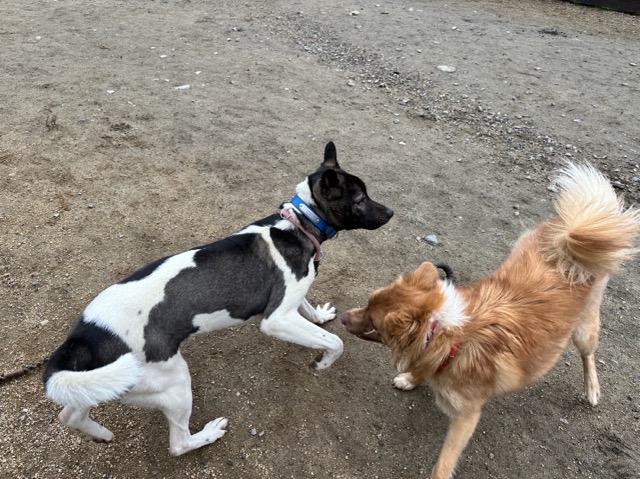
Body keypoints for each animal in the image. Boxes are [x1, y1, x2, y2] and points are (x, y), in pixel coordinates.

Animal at [43, 141, 393, 456]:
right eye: (360, 199)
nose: (390, 212)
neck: (298, 224)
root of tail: (85, 338)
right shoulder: (277, 319)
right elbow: (335, 342)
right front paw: (323, 362)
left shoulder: (293, 299)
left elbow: (308, 307)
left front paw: (320, 316)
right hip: (172, 381)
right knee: (178, 444)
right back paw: (206, 435)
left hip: (105, 382)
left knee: (70, 412)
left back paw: (100, 434)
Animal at [341, 162, 639, 479]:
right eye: (367, 302)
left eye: (373, 322)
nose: (343, 316)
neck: (449, 336)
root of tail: (568, 243)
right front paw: (411, 379)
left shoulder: (467, 416)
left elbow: (443, 463)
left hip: (584, 330)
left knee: (589, 355)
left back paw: (592, 389)